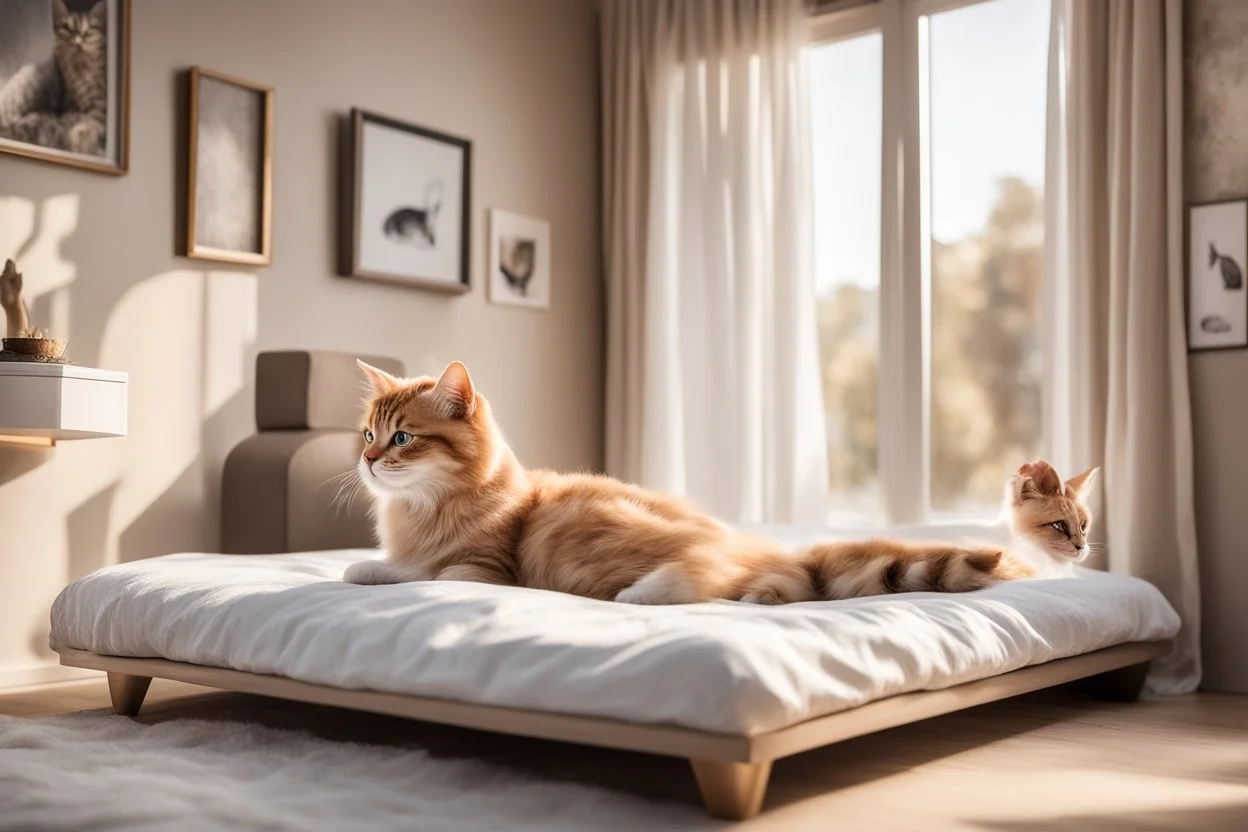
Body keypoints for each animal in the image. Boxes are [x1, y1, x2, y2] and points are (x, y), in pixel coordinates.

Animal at [341, 361, 1093, 601]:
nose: (370, 461)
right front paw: (367, 565)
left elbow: (427, 573)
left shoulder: (484, 569)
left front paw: (376, 571)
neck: (426, 509)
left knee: (718, 576)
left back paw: (646, 597)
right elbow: (391, 565)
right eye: (368, 434)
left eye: (403, 438)